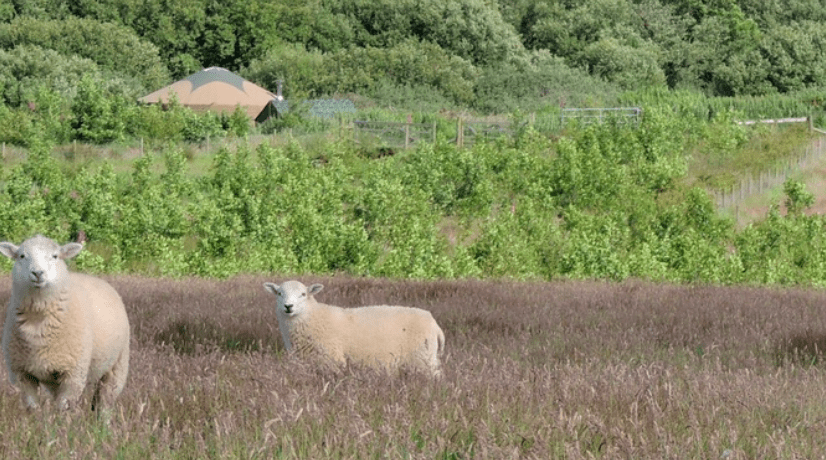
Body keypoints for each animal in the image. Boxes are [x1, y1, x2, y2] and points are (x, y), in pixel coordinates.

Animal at [0, 235, 130, 412]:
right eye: (22, 256)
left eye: (55, 256)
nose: (38, 273)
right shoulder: (22, 375)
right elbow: (33, 408)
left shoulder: (73, 374)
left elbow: (63, 409)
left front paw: (60, 421)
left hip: (118, 366)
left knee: (104, 404)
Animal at [264, 278, 444, 376]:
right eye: (279, 293)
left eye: (303, 294)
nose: (288, 306)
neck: (314, 316)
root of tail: (435, 324)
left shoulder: (332, 360)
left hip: (422, 359)